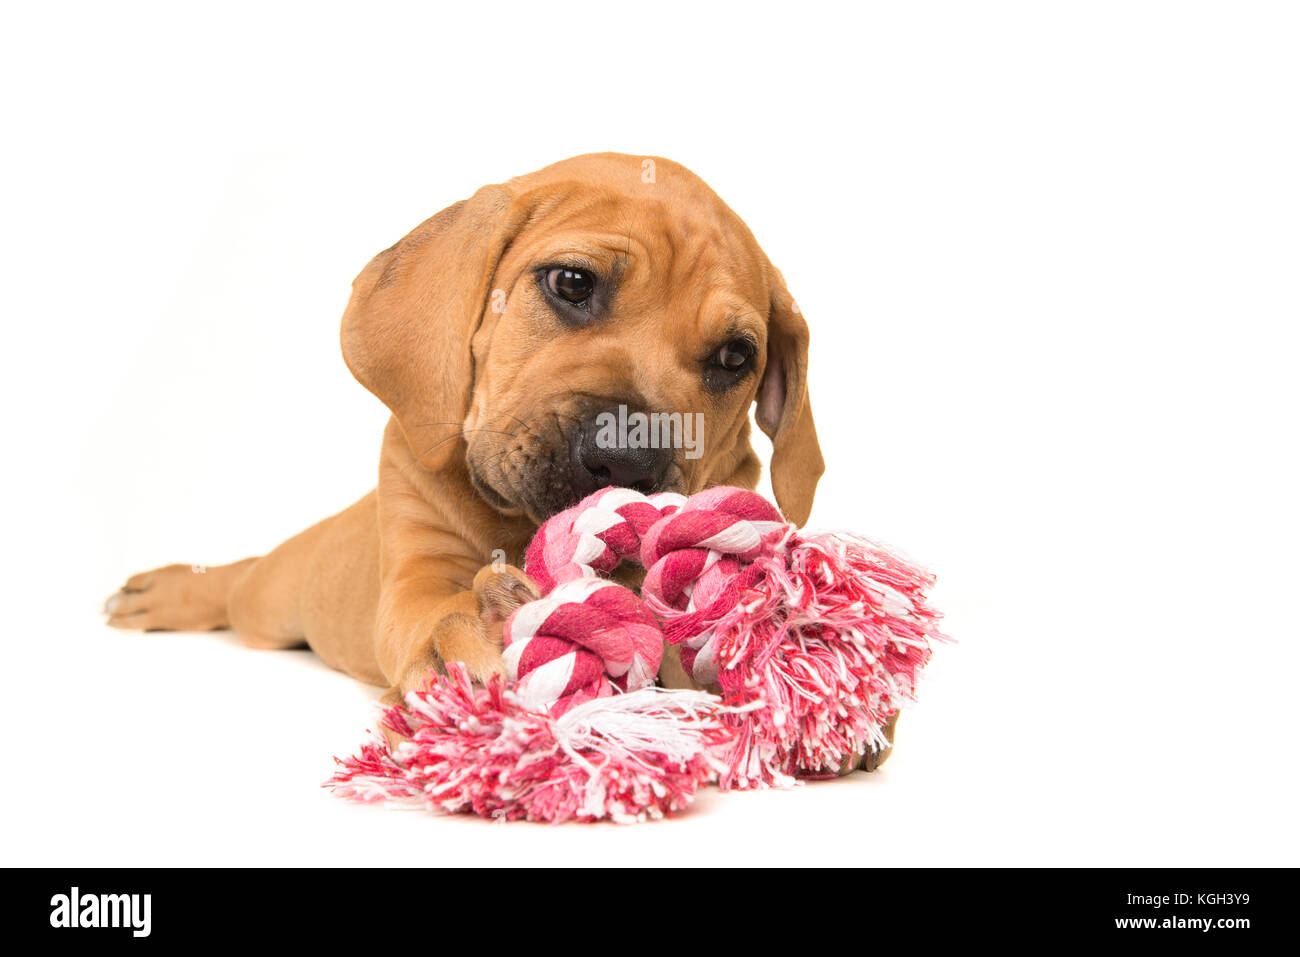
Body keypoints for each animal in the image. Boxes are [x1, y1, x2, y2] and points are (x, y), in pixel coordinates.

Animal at [106, 155, 852, 748]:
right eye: (571, 284)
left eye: (734, 358)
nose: (628, 463)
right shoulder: (418, 564)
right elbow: (432, 608)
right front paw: (457, 649)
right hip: (276, 598)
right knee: (241, 582)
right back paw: (171, 588)